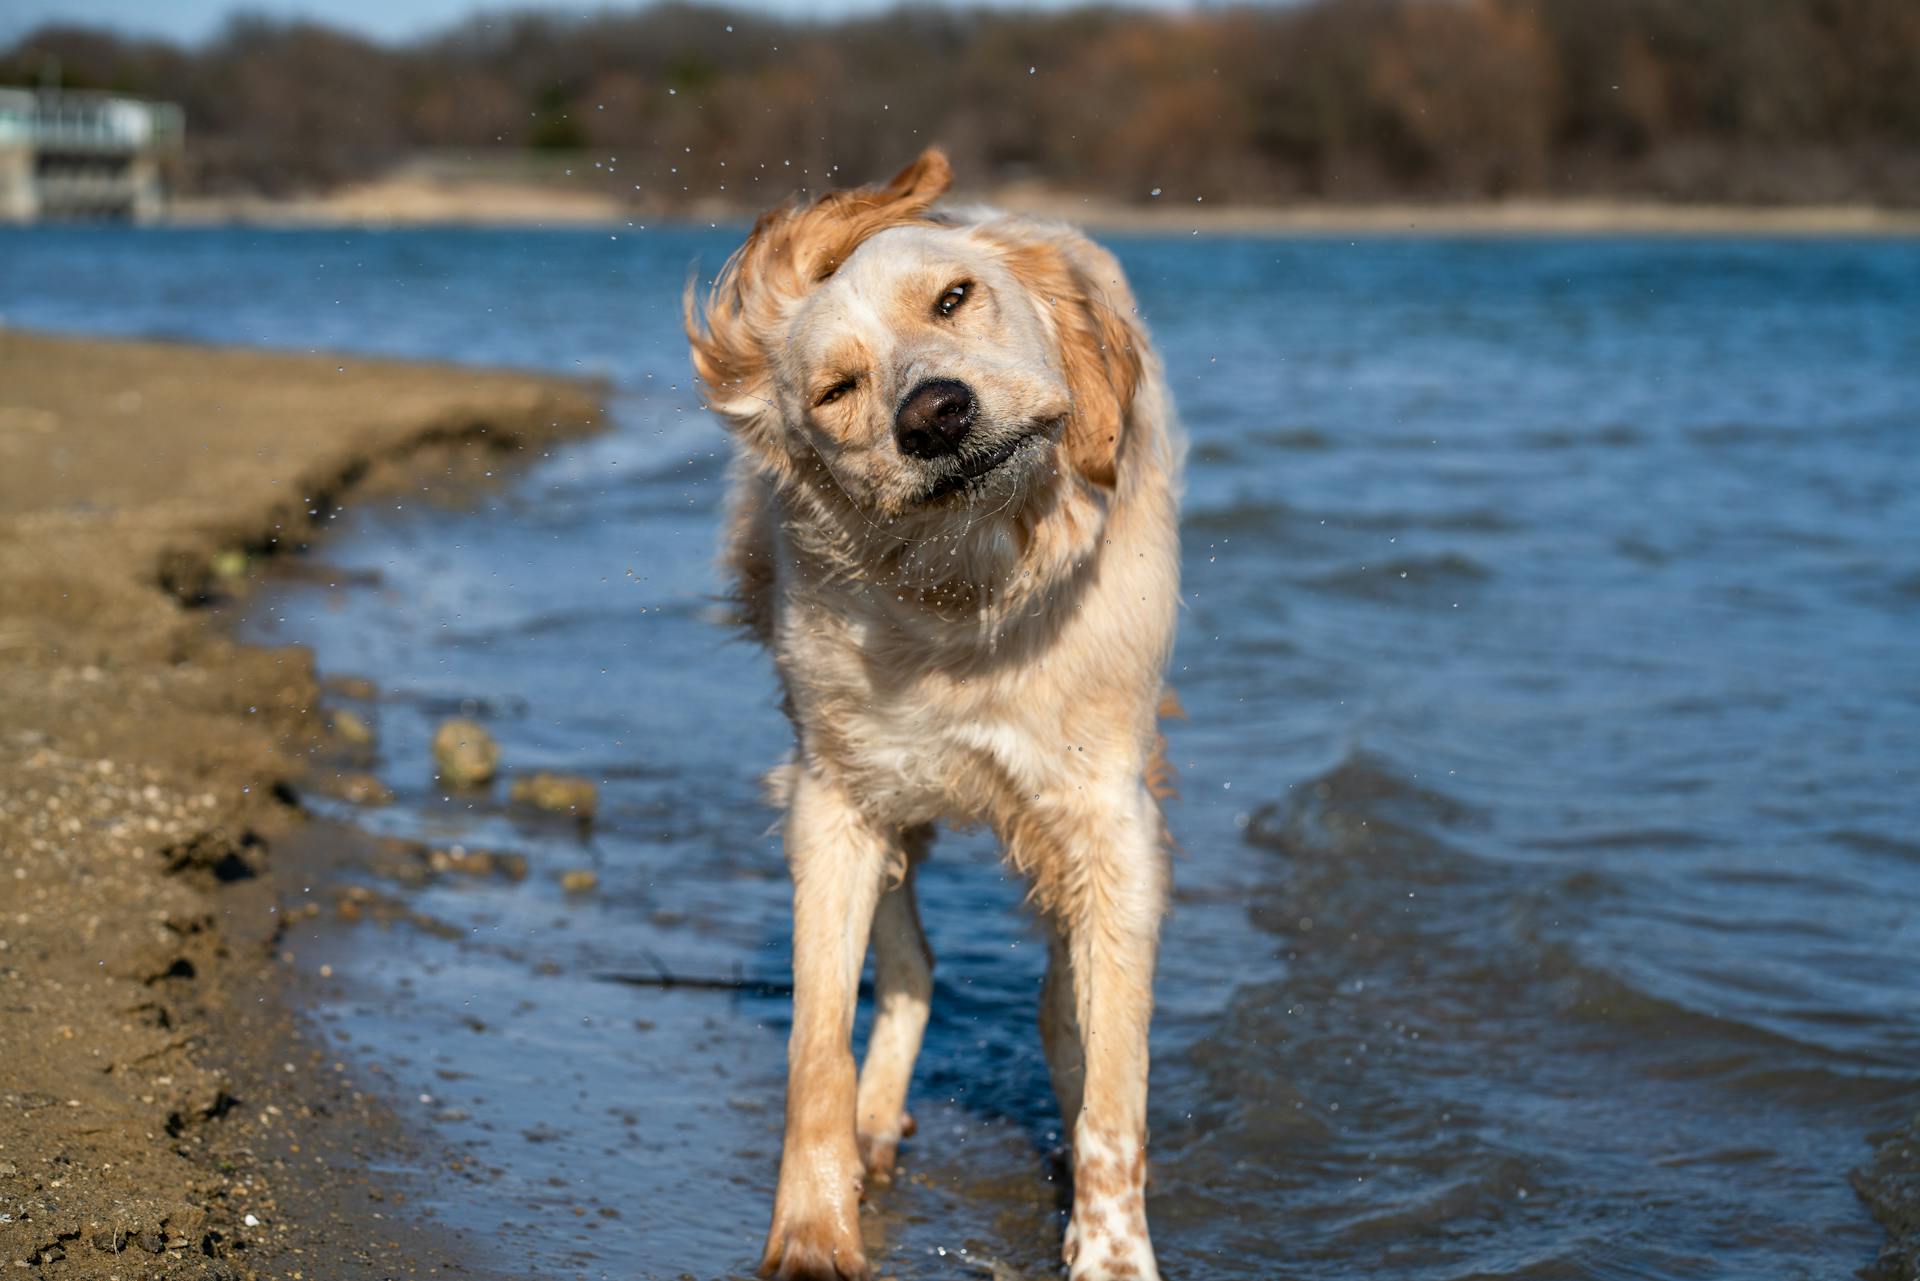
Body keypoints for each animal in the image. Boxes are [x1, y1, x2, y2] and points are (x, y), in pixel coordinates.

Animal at [683, 152, 1175, 1281]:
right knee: (911, 967)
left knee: (1059, 1004)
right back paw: (877, 1123)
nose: (937, 414)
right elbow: (816, 1047)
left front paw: (1111, 1250)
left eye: (955, 298)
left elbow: (1113, 1084)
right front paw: (813, 1231)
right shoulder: (832, 802)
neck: (968, 593)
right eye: (836, 389)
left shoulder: (1109, 823)